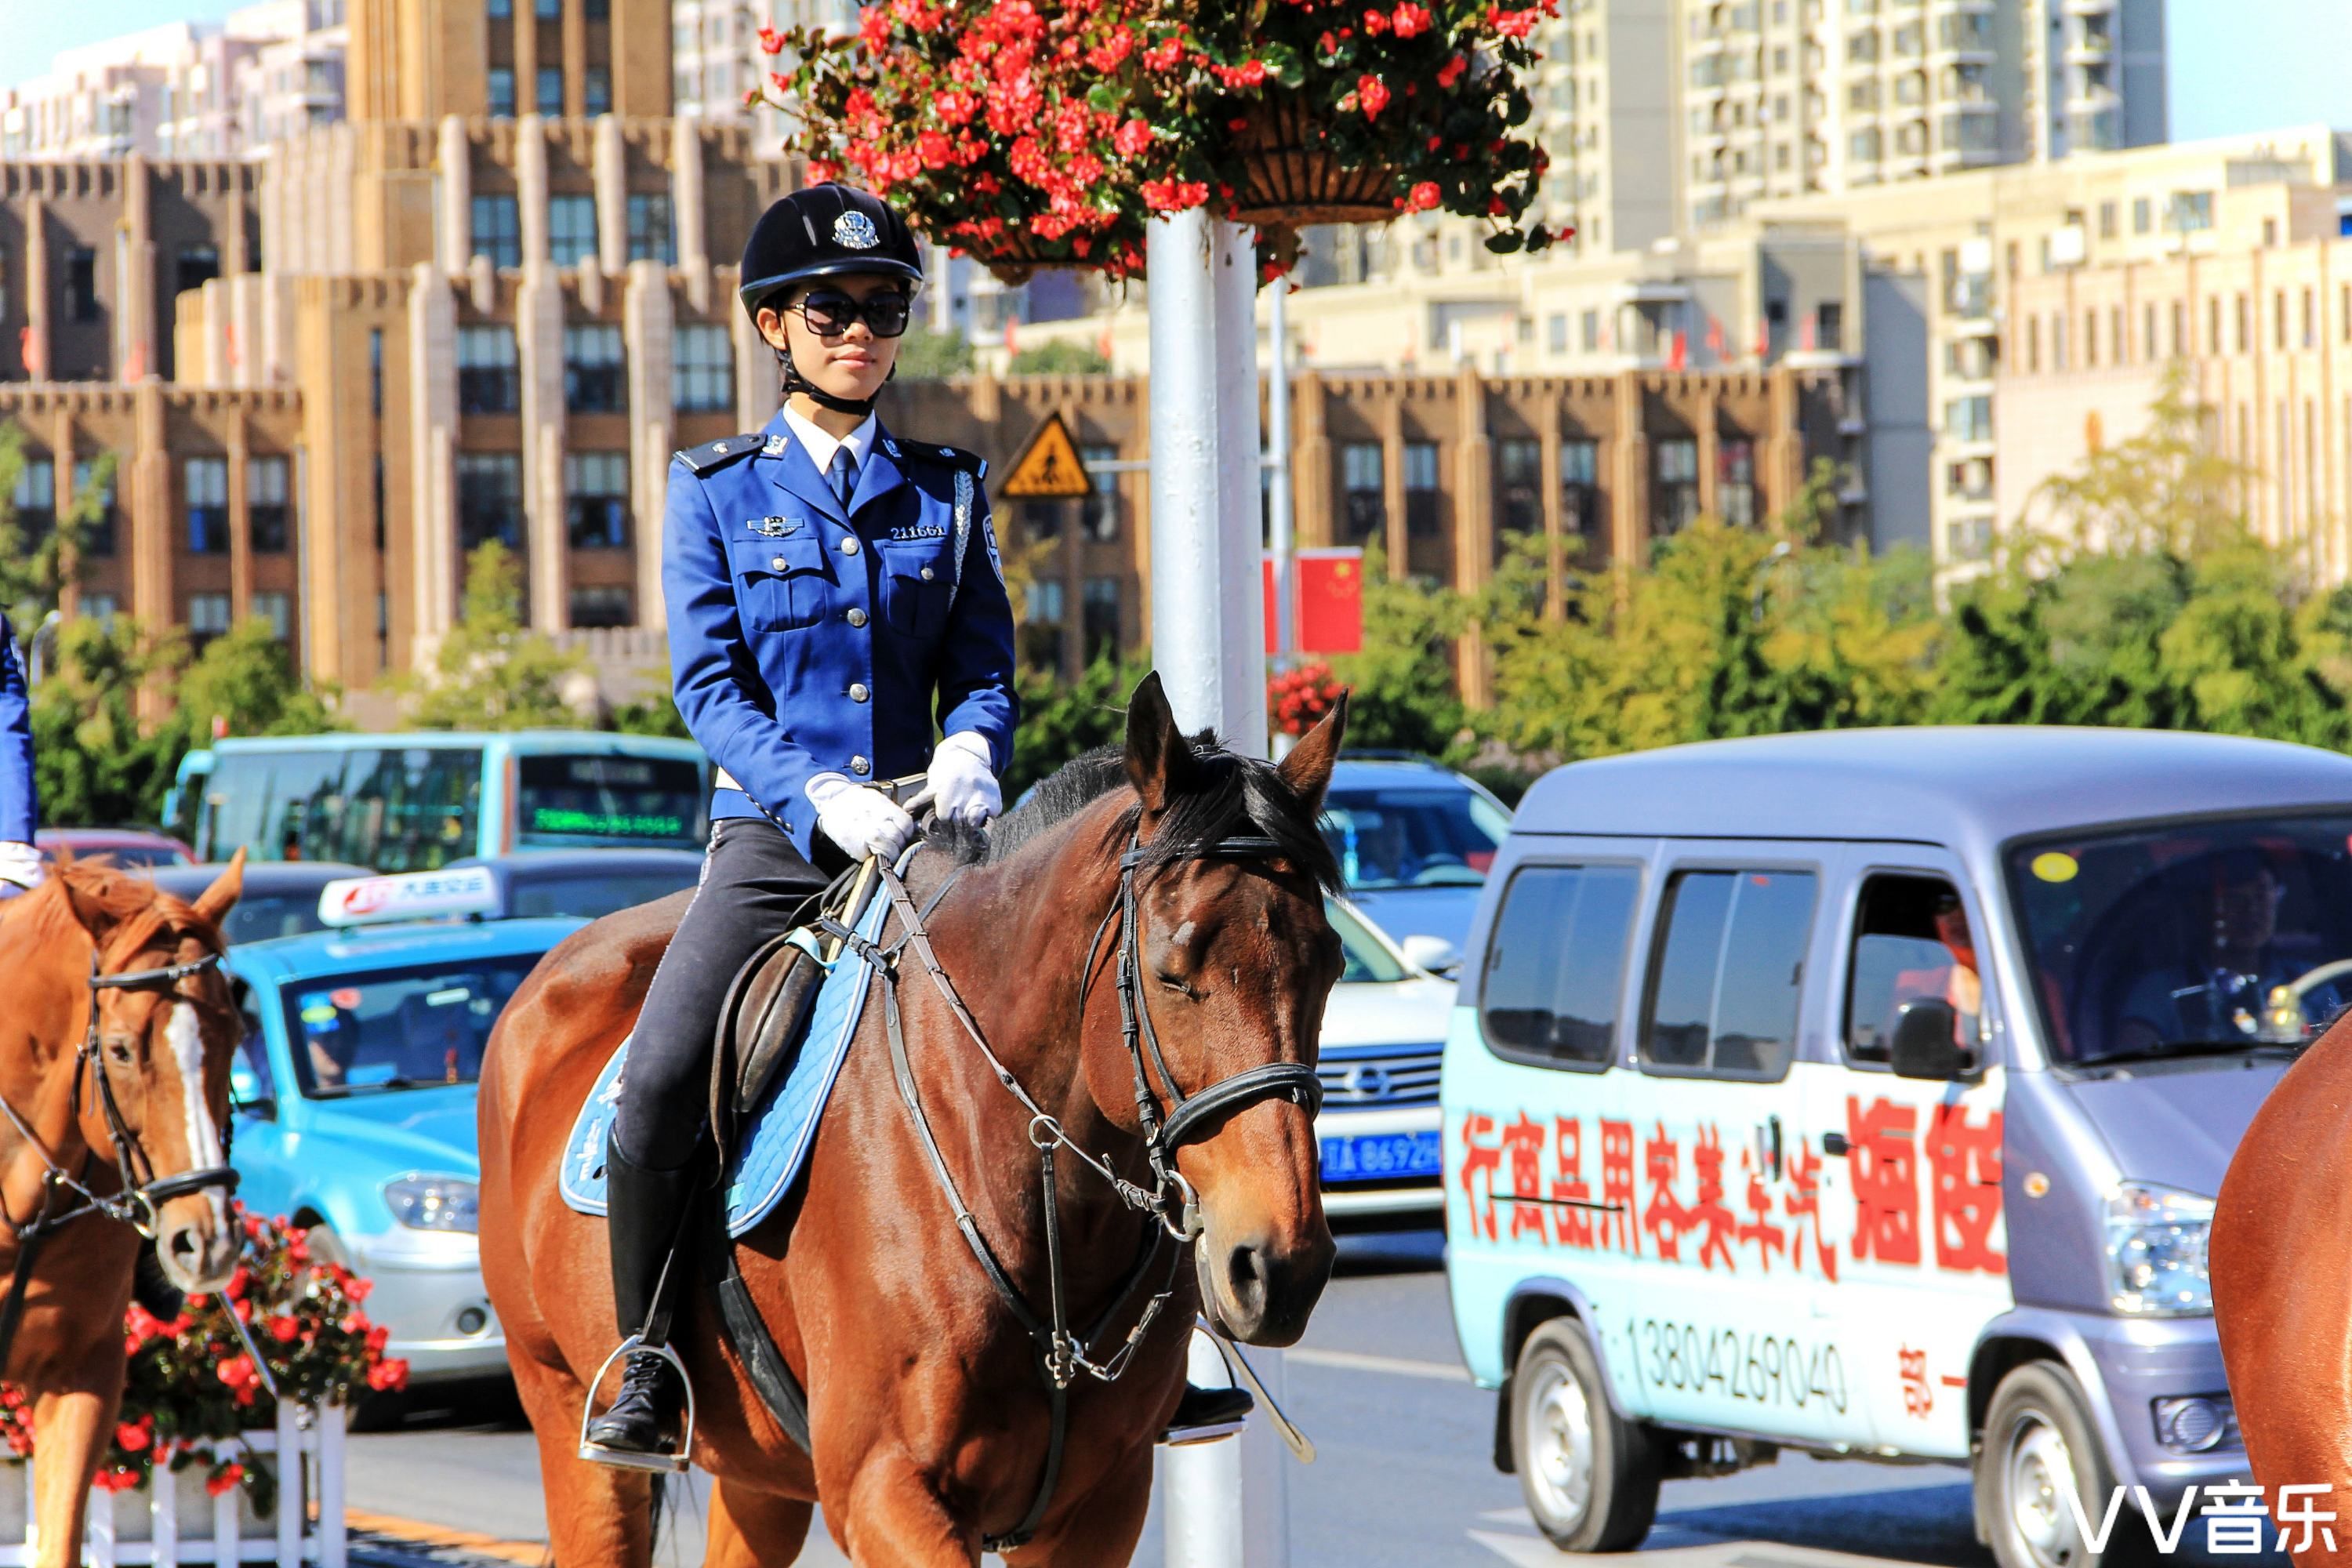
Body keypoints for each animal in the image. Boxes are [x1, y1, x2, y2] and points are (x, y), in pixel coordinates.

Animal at [477, 677, 1355, 1568]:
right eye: (1173, 973)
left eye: (1330, 965)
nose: (1281, 1266)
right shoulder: (885, 1490)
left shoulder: (1098, 1506)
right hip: (566, 1415)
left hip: (762, 1474)